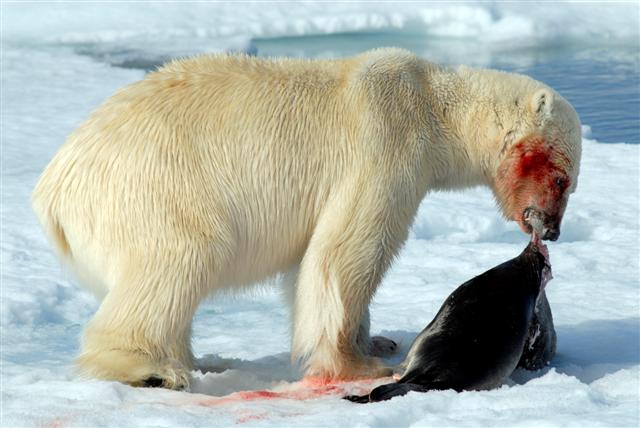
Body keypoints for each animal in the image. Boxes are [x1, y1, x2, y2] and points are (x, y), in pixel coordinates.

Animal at [32, 48, 581, 389]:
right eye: (561, 179)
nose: (552, 231)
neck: (433, 105)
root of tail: (53, 190)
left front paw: (377, 339)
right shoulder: (386, 140)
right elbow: (346, 251)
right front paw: (360, 364)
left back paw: (201, 358)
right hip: (154, 190)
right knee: (180, 259)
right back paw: (153, 370)